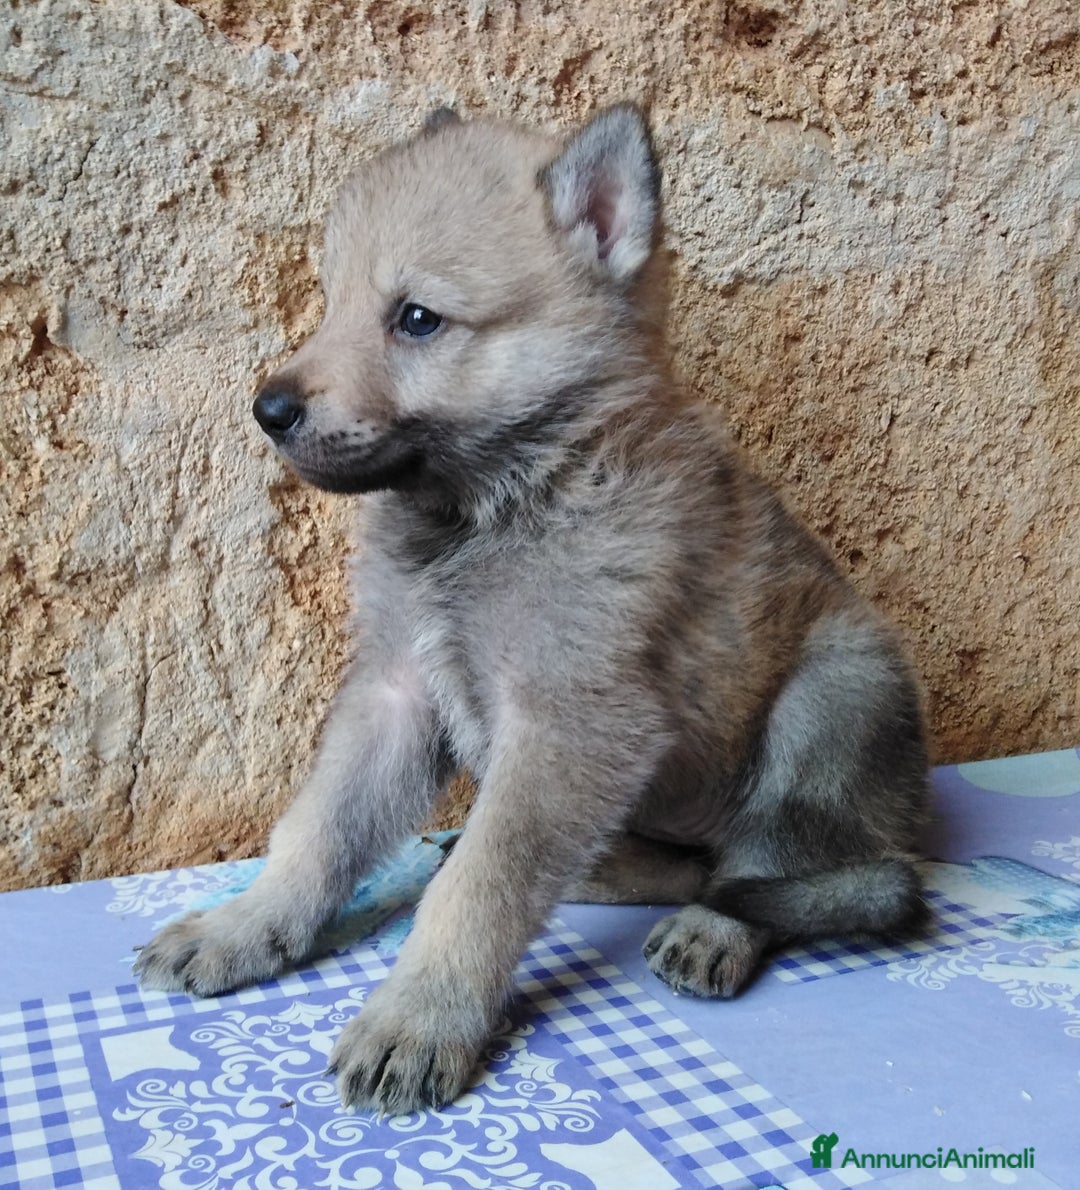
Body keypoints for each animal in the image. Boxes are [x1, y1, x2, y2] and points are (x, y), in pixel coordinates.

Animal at [134, 103, 931, 1116]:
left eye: (417, 319)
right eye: (331, 301)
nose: (268, 409)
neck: (495, 506)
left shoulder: (567, 725)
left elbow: (481, 887)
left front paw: (420, 1016)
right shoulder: (396, 694)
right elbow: (315, 831)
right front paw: (246, 927)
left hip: (830, 696)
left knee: (763, 865)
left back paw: (714, 928)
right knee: (694, 863)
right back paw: (605, 870)